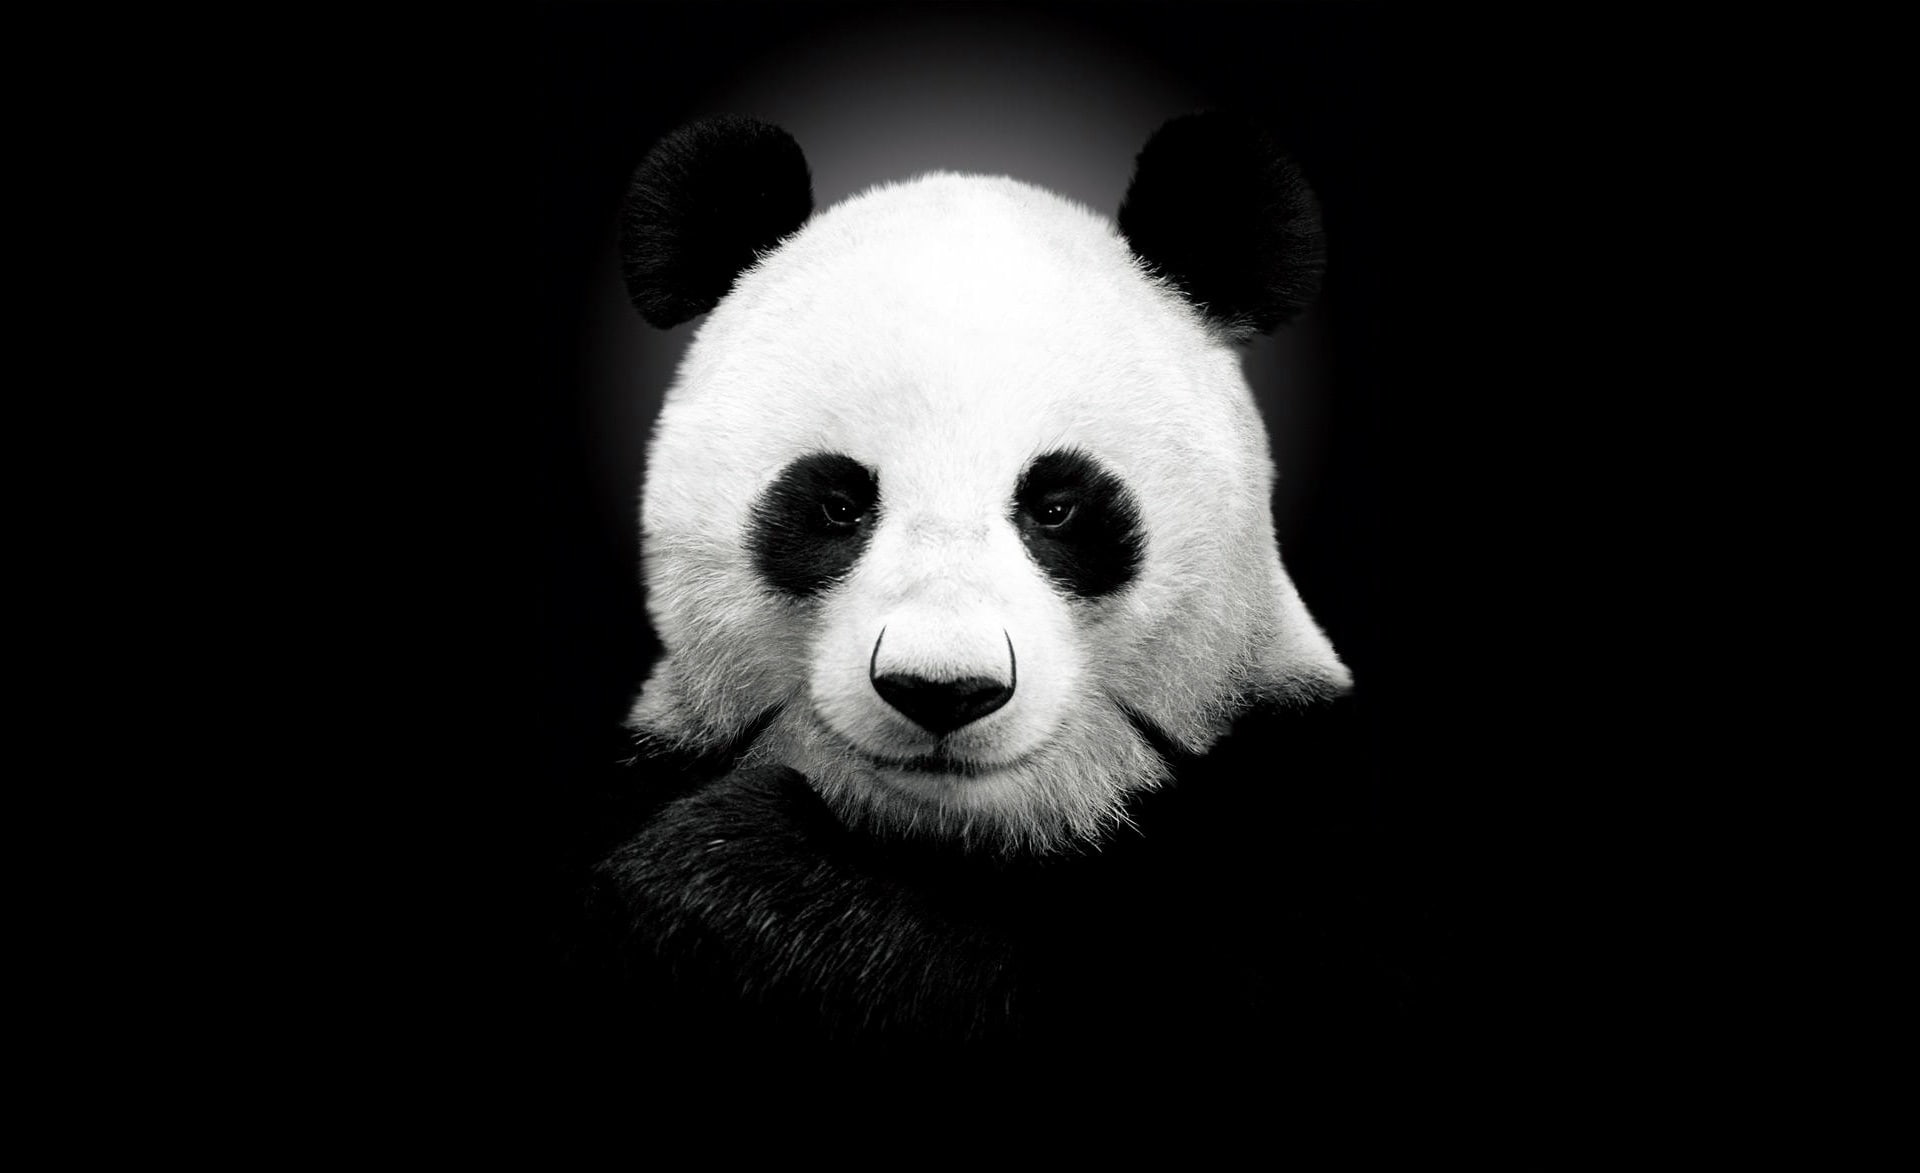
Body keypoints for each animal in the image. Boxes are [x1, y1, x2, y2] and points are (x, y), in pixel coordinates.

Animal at [572, 113, 1411, 1066]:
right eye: (837, 505)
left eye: (1058, 506)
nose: (943, 690)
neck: (960, 836)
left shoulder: (1295, 819)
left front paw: (732, 876)